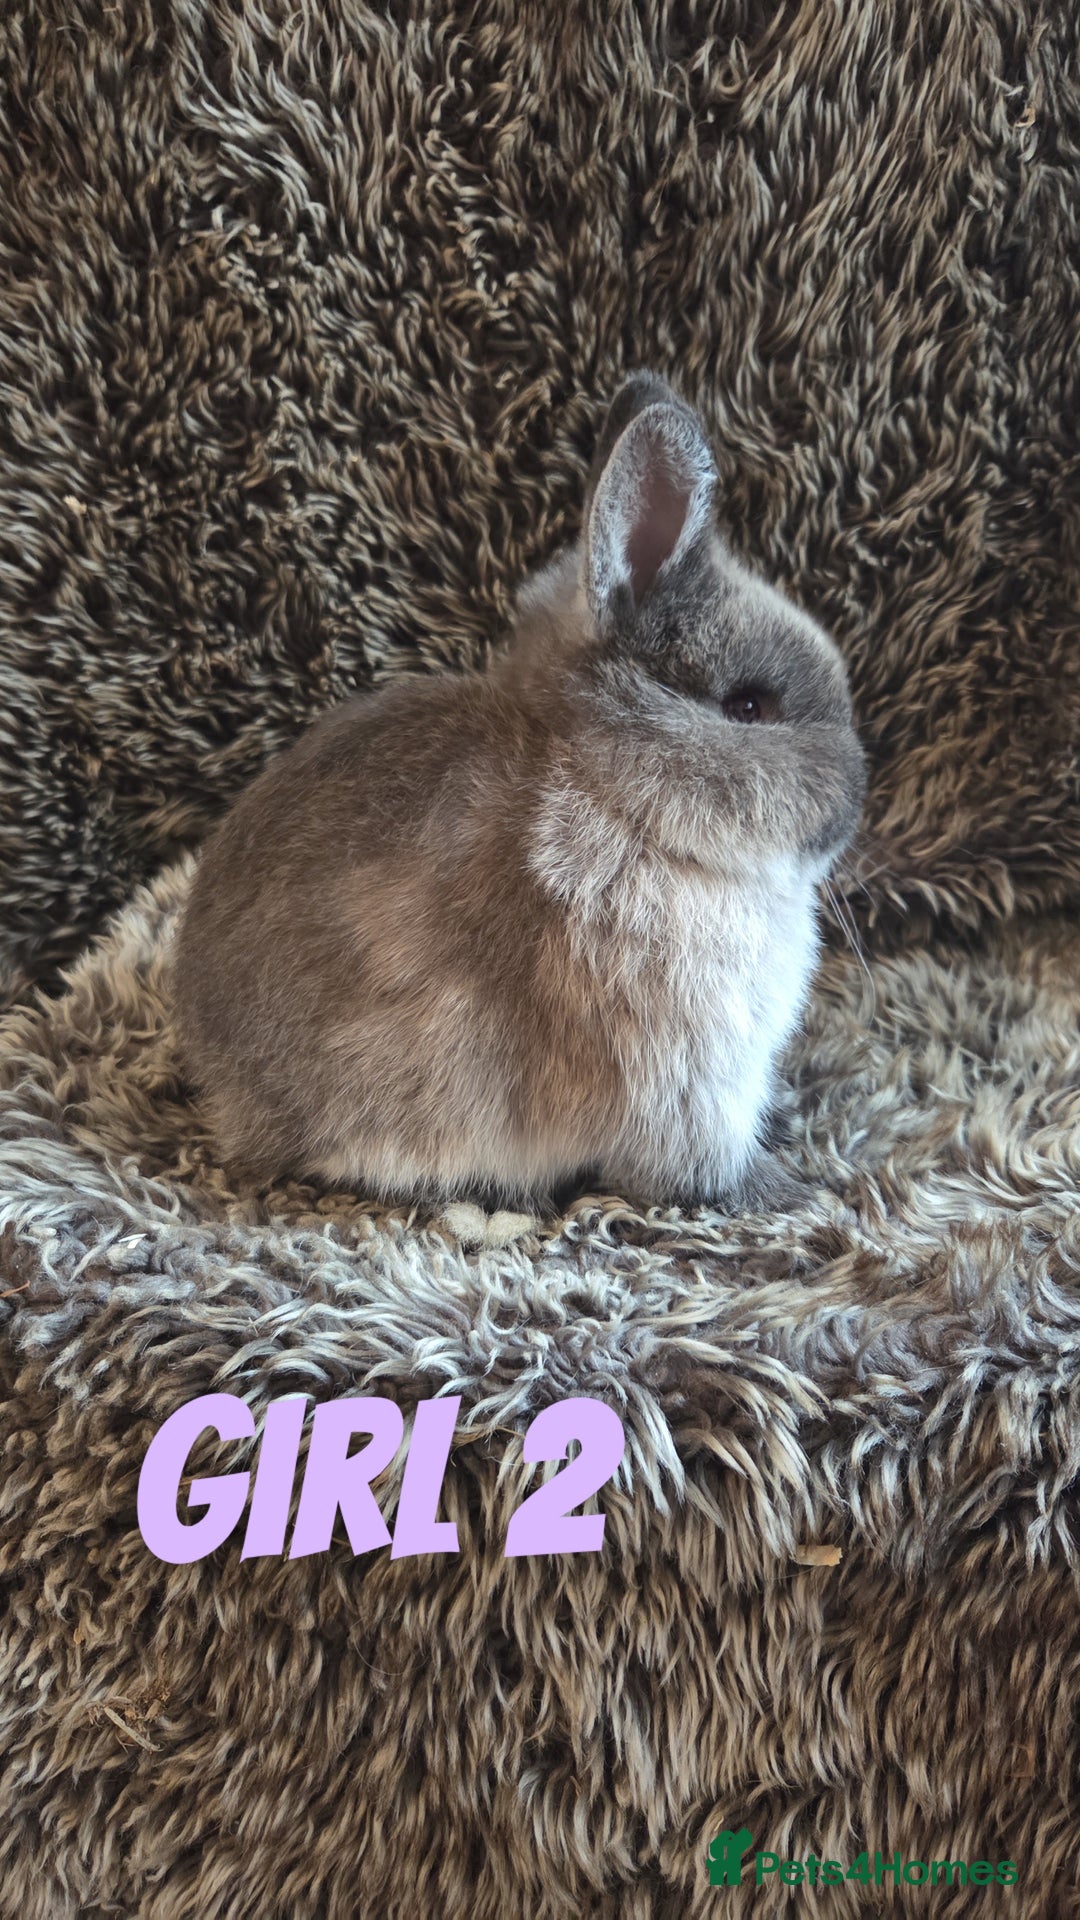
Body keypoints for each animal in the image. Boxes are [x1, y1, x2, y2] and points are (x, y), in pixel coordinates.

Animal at [173, 372, 866, 1213]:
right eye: (749, 707)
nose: (856, 800)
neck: (616, 794)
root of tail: (221, 1088)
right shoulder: (682, 1077)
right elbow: (699, 1165)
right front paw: (791, 1192)